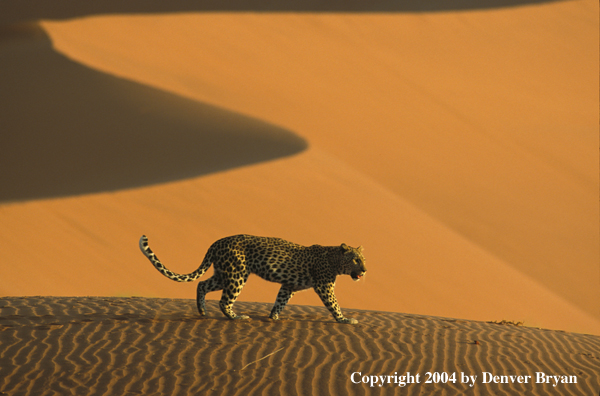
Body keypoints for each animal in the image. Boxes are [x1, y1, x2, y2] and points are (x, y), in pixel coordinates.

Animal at [139, 234, 366, 324]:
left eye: (364, 259)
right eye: (356, 259)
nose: (364, 271)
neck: (335, 260)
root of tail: (216, 242)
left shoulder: (289, 285)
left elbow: (280, 301)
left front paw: (274, 317)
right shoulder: (324, 286)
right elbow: (334, 304)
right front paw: (345, 320)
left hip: (223, 274)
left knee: (202, 285)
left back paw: (202, 311)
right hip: (237, 275)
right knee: (224, 301)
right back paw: (237, 317)